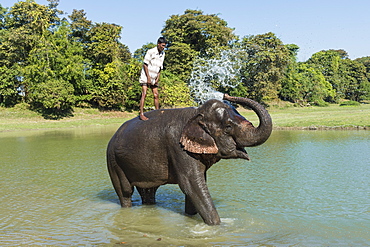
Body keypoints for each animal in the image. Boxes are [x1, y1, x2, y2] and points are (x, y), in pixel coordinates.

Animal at [107, 94, 272, 226]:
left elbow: (198, 185)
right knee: (125, 192)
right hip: (114, 161)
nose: (226, 95)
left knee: (149, 191)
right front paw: (218, 227)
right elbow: (191, 185)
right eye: (228, 127)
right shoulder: (178, 147)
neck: (196, 113)